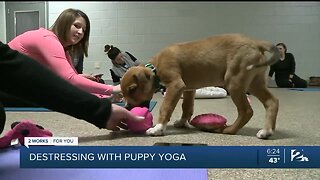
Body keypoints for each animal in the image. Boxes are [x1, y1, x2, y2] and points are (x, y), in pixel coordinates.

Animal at [121, 33, 278, 139]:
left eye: (132, 89)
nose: (127, 108)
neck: (155, 67)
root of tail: (256, 43)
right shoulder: (188, 89)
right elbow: (187, 107)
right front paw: (183, 122)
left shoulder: (175, 85)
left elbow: (166, 107)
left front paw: (158, 129)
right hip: (254, 82)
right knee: (272, 101)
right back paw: (267, 131)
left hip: (234, 82)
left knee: (246, 111)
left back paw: (229, 130)